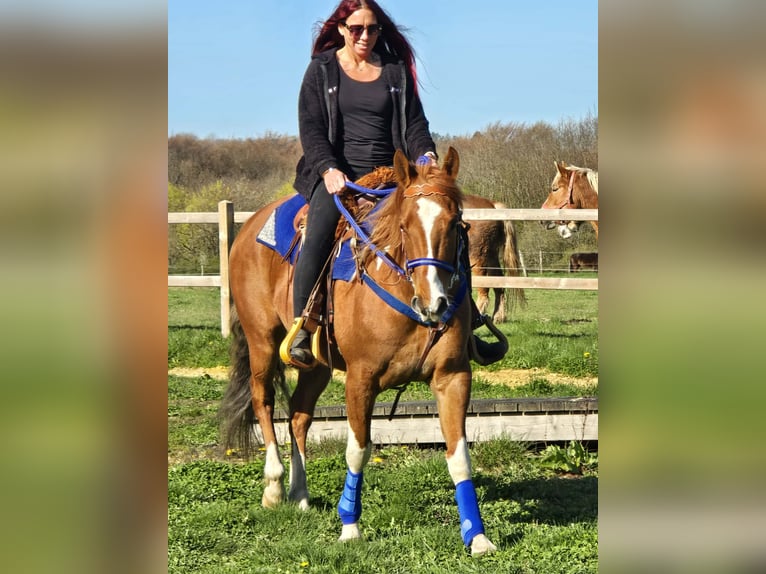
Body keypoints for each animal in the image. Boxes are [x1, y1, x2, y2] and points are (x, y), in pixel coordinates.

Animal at [219, 147, 497, 556]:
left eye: (454, 223)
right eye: (404, 226)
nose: (435, 303)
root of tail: (249, 227)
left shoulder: (453, 377)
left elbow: (458, 455)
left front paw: (476, 536)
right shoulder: (360, 379)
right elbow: (358, 449)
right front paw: (350, 526)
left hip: (316, 364)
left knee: (299, 415)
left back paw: (300, 492)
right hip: (262, 342)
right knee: (263, 402)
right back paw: (274, 485)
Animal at [463, 195, 526, 323]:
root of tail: (493, 206)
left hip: (478, 257)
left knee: (484, 290)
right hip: (491, 255)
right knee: (498, 284)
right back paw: (498, 316)